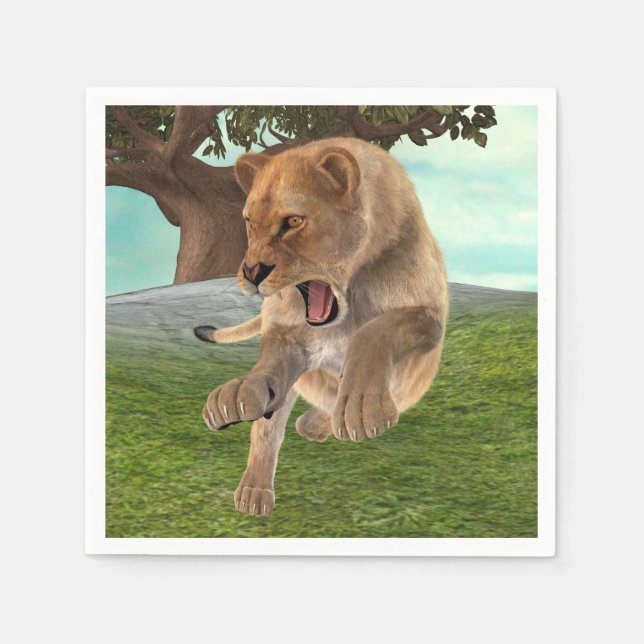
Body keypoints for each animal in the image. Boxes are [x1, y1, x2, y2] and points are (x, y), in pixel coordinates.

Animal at [194, 137, 448, 516]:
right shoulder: (288, 335)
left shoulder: (429, 317)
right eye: (249, 222)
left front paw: (361, 406)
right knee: (270, 427)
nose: (252, 273)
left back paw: (317, 422)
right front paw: (240, 392)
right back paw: (254, 491)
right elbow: (268, 380)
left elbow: (375, 331)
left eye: (294, 221)